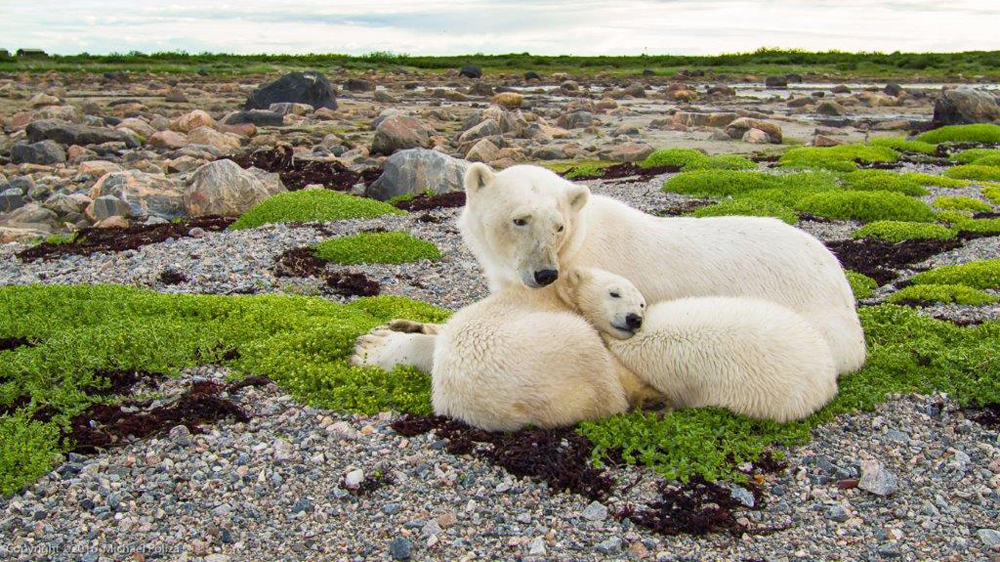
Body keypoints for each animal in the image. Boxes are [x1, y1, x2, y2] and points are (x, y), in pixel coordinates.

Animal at [352, 163, 866, 378]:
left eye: (558, 224)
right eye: (520, 219)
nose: (545, 273)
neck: (576, 247)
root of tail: (839, 276)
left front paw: (376, 346)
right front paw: (404, 324)